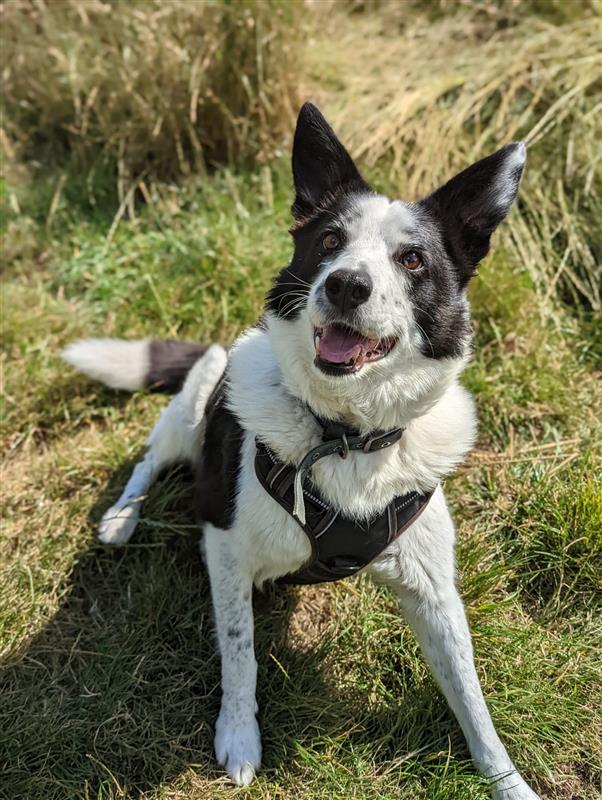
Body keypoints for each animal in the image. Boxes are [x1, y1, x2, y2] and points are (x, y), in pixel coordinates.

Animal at [63, 104, 536, 800]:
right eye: (330, 241)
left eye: (412, 260)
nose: (345, 286)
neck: (343, 434)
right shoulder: (224, 545)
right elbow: (240, 652)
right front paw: (239, 736)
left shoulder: (435, 594)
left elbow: (473, 701)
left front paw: (507, 781)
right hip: (190, 409)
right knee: (149, 460)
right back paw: (121, 519)